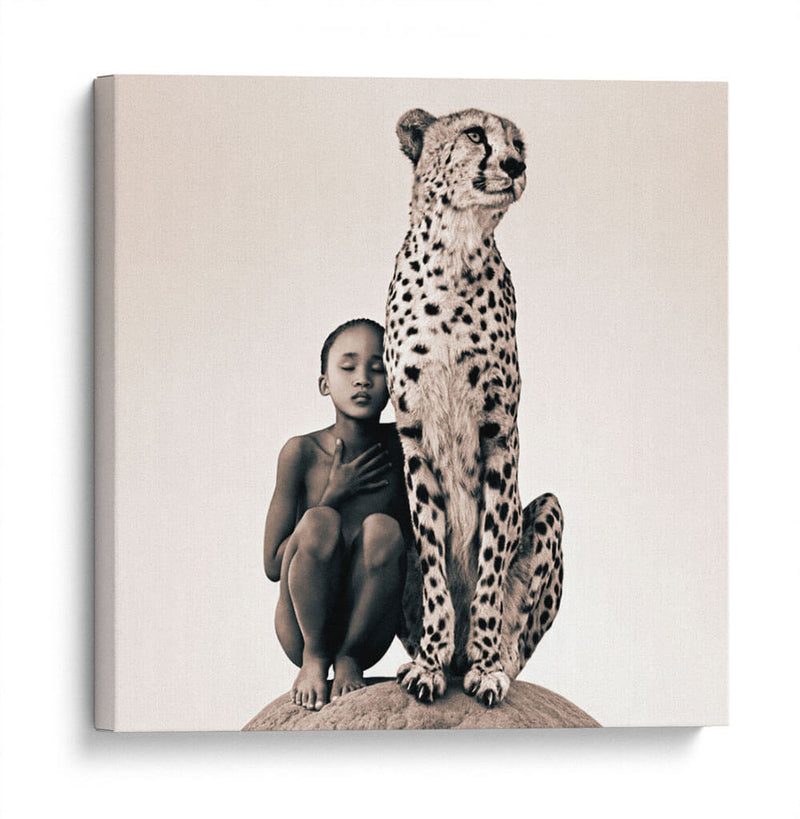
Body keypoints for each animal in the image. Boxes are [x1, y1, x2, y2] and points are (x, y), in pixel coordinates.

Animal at [384, 108, 563, 707]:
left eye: (518, 143)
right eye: (475, 135)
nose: (515, 165)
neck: (454, 254)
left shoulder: (499, 433)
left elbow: (489, 564)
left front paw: (484, 666)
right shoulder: (413, 434)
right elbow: (437, 566)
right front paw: (430, 662)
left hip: (551, 510)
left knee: (521, 642)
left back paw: (490, 660)